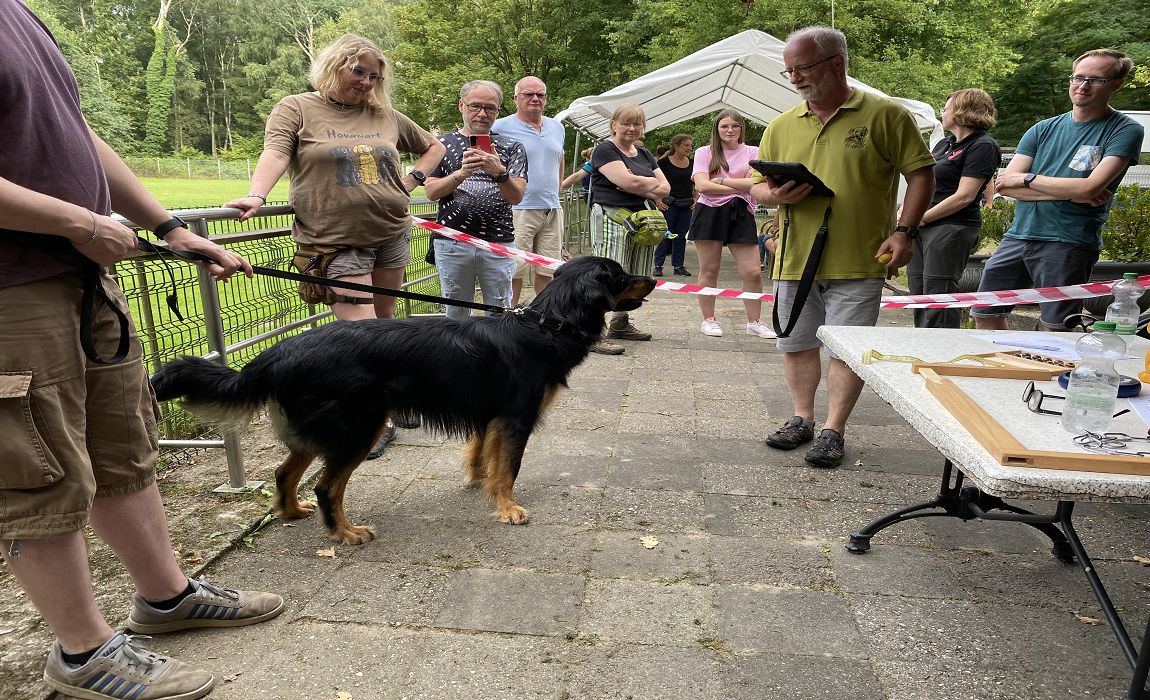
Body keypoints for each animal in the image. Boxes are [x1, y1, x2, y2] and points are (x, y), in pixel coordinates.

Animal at [150, 254, 657, 542]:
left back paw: (293, 512)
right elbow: (509, 467)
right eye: (619, 275)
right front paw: (508, 508)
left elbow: (484, 456)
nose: (652, 280)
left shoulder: (489, 415)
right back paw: (345, 534)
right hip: (358, 428)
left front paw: (481, 486)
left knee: (285, 472)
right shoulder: (516, 417)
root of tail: (277, 350)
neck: (546, 325)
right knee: (326, 486)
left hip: (321, 430)